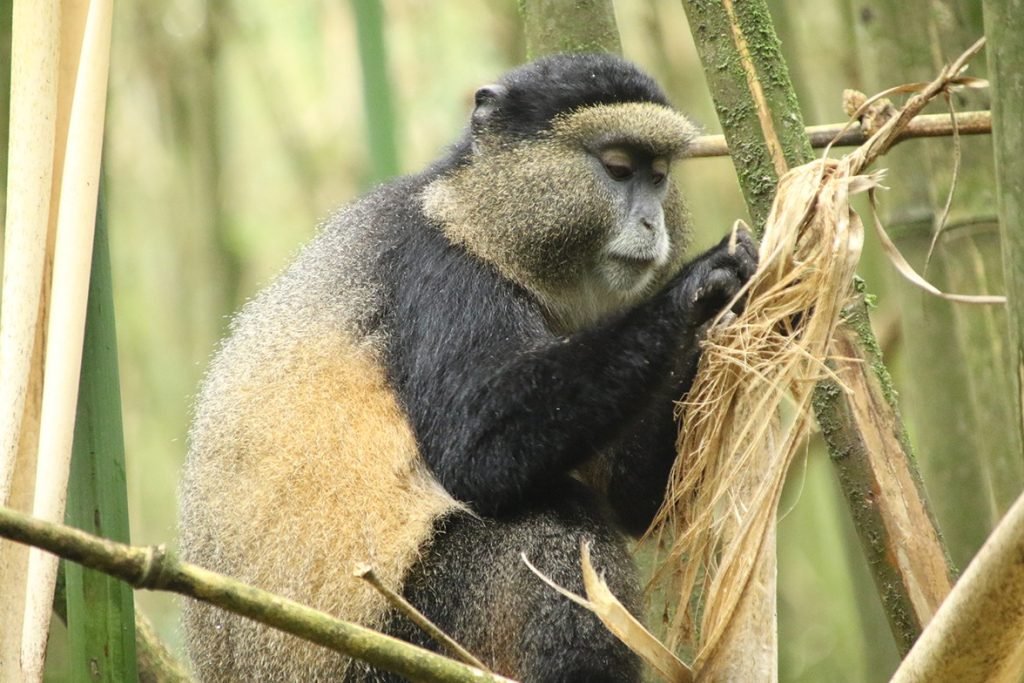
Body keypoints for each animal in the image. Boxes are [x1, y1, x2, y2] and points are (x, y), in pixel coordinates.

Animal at [178, 52, 757, 682]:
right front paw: (699, 285)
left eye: (658, 177)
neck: (479, 221)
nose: (654, 225)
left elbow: (638, 499)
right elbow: (476, 451)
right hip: (396, 641)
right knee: (545, 520)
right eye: (619, 169)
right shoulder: (443, 280)